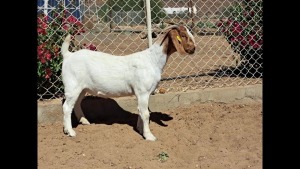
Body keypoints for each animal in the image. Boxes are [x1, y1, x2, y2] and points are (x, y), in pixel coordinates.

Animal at [61, 24, 197, 141]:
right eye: (183, 35)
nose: (194, 49)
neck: (152, 60)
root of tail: (68, 55)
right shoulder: (143, 92)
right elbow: (145, 113)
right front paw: (149, 136)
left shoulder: (141, 94)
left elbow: (141, 111)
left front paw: (140, 129)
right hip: (72, 86)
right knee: (67, 107)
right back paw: (70, 131)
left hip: (82, 88)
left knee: (76, 103)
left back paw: (84, 121)